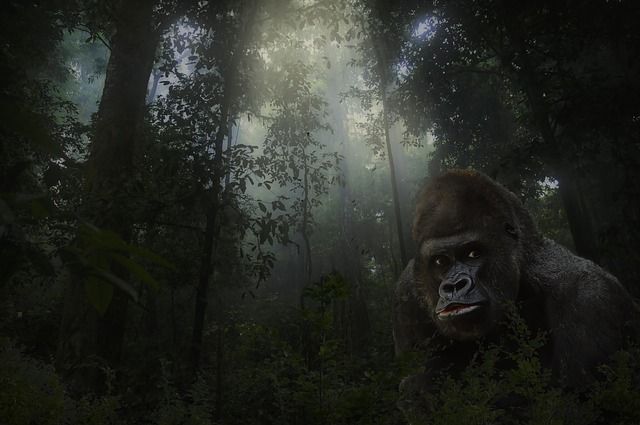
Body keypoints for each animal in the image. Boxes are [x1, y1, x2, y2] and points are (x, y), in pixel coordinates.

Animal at [393, 169, 639, 422]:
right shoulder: (406, 294)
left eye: (473, 253)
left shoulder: (590, 296)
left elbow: (584, 407)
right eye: (440, 261)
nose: (453, 286)